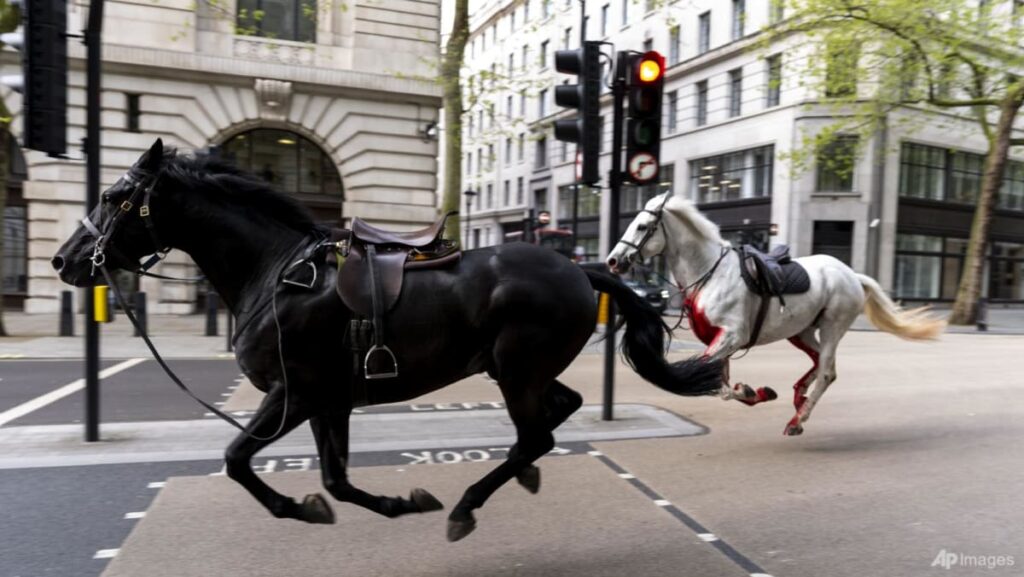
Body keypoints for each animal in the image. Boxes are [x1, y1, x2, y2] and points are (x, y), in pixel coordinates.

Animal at [52, 139, 723, 541]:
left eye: (112, 196)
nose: (64, 261)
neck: (275, 273)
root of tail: (579, 269)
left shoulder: (294, 393)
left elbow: (239, 459)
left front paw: (298, 507)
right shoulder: (329, 401)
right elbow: (335, 480)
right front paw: (393, 503)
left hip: (515, 369)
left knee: (537, 433)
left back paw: (468, 504)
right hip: (516, 369)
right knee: (558, 413)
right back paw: (519, 475)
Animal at [606, 193, 944, 436]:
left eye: (641, 226)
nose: (613, 260)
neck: (710, 273)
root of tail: (851, 274)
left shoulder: (731, 336)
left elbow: (714, 383)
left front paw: (751, 391)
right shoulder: (720, 339)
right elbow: (719, 382)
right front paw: (755, 391)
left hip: (833, 326)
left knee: (826, 372)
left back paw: (797, 419)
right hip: (801, 331)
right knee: (821, 364)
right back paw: (799, 399)